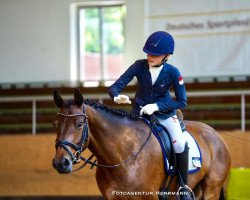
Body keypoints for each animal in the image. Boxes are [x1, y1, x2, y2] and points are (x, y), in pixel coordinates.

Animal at [52, 89, 230, 200]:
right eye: (55, 124)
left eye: (79, 124)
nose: (61, 163)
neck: (121, 156)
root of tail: (216, 135)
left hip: (211, 190)